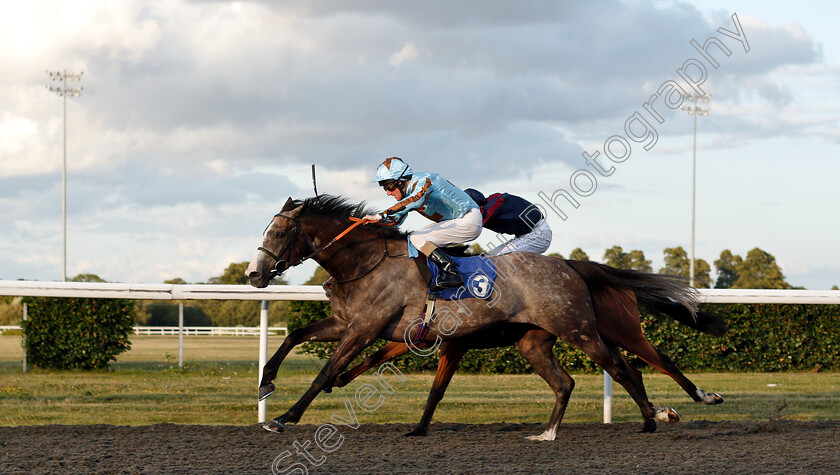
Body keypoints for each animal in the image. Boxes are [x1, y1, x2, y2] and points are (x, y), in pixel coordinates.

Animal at [246, 196, 720, 438]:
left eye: (280, 231)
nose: (254, 274)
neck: (365, 262)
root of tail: (569, 266)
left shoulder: (365, 330)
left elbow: (325, 373)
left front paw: (285, 417)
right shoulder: (350, 324)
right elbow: (295, 335)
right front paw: (266, 382)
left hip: (582, 330)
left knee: (628, 369)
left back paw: (656, 417)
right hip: (534, 341)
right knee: (567, 382)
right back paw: (549, 432)